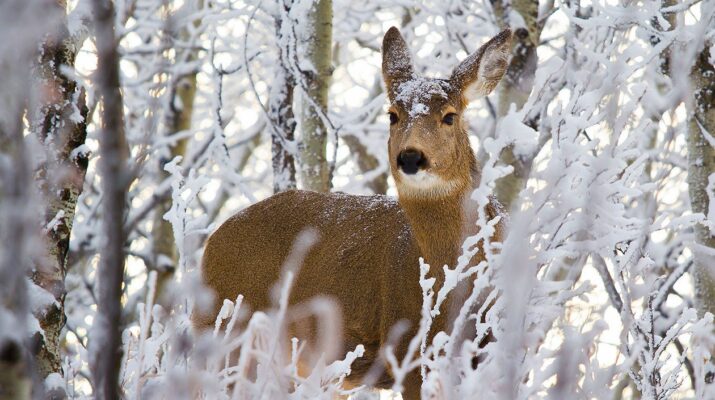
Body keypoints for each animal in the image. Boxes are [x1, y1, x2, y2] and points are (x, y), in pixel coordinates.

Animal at [193, 27, 512, 399]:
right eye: (392, 115)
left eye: (450, 115)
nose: (411, 157)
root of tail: (210, 244)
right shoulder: (407, 351)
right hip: (226, 336)